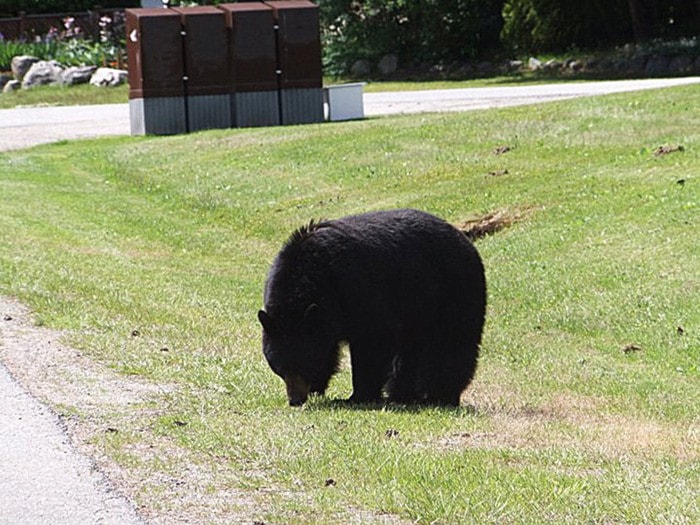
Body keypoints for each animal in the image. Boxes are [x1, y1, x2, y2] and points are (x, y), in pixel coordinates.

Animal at [258, 208, 486, 406]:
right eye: (279, 368)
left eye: (302, 364)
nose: (295, 400)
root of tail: (465, 240)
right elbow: (327, 348)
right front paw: (318, 386)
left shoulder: (357, 288)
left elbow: (373, 339)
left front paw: (357, 396)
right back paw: (402, 394)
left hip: (452, 291)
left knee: (451, 343)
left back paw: (441, 395)